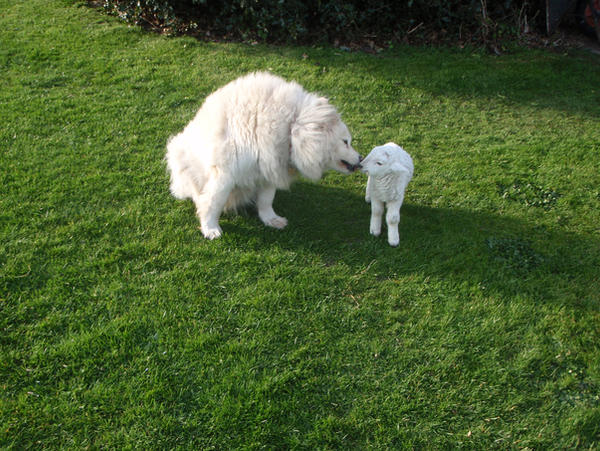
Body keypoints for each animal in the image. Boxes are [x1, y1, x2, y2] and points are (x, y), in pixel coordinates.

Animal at [165, 71, 360, 240]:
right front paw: (210, 228)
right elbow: (214, 202)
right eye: (346, 142)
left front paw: (271, 219)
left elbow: (267, 199)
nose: (360, 159)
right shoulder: (225, 174)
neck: (289, 128)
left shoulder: (269, 169)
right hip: (179, 155)